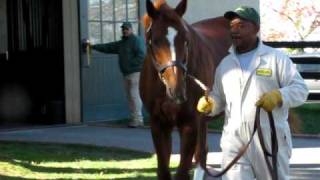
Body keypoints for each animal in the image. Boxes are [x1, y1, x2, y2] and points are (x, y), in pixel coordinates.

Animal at [141, 0, 231, 179]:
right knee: (202, 154)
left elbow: (182, 171)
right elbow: (163, 170)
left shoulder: (190, 124)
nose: (177, 91)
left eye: (186, 39)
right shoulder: (159, 124)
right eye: (155, 40)